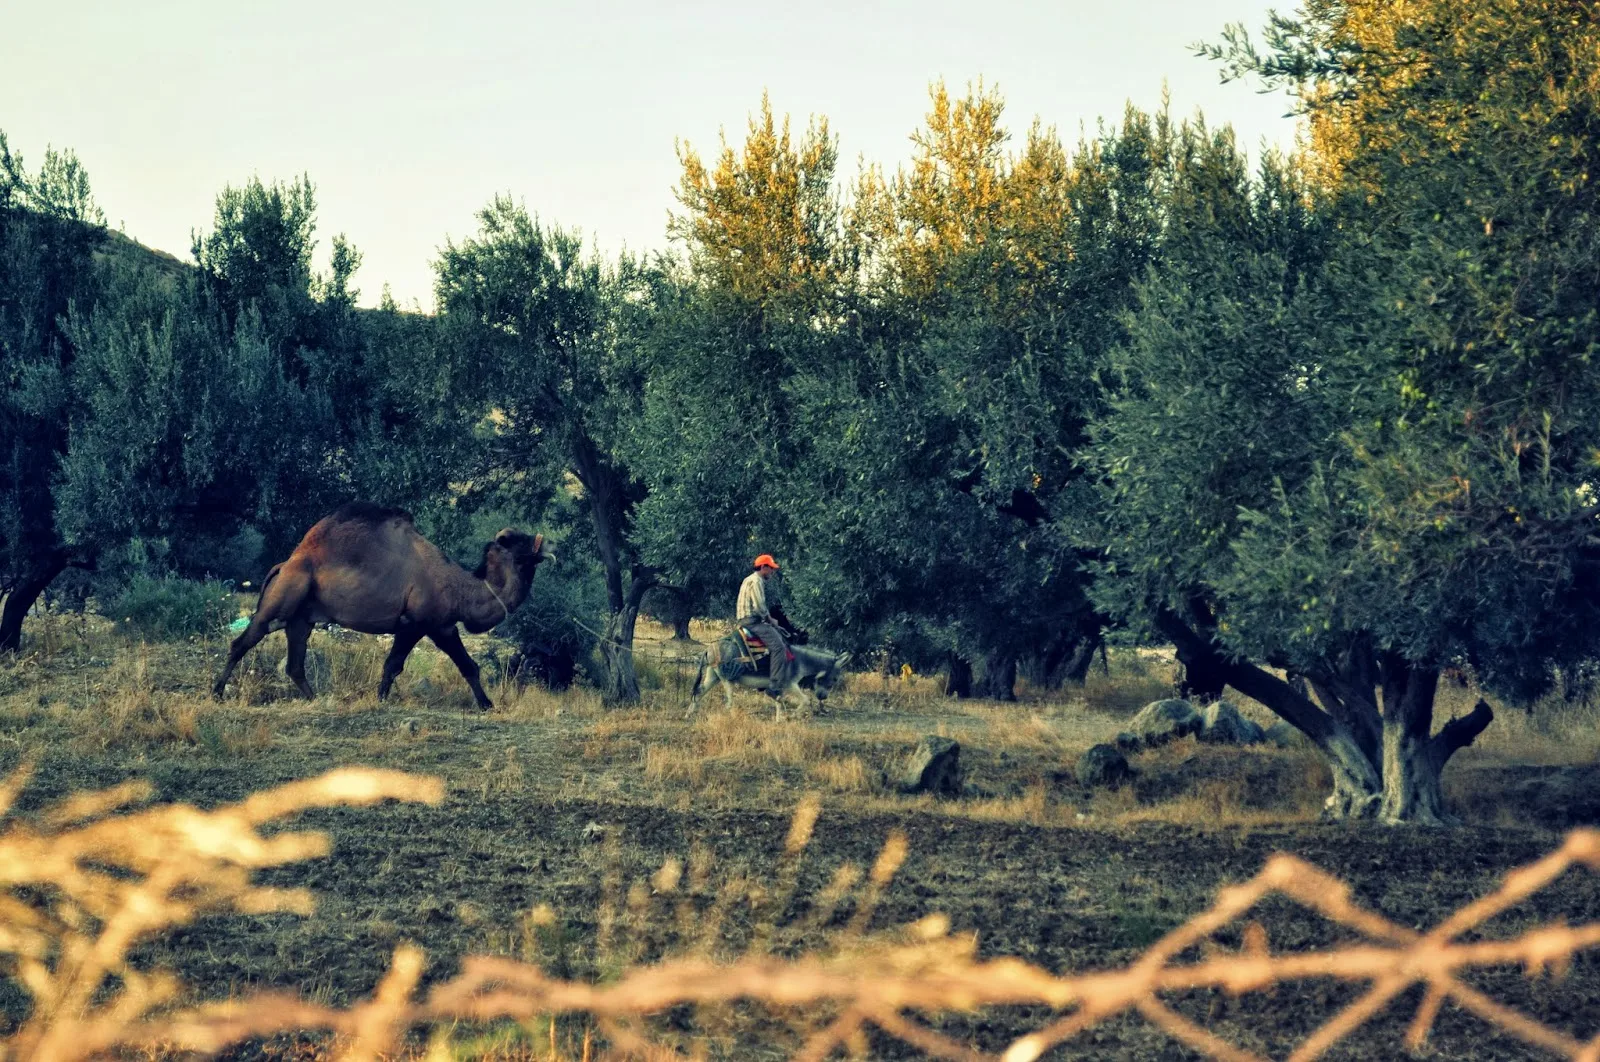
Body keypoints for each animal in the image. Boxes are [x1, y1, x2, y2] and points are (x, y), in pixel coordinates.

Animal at [212, 502, 550, 710]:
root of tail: (283, 565)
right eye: (519, 546)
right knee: (243, 642)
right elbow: (393, 665)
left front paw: (487, 705)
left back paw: (315, 699)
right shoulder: (415, 622)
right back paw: (216, 693)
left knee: (294, 664)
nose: (544, 543)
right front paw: (381, 699)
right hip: (282, 599)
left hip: (301, 619)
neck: (460, 588)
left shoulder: (442, 626)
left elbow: (468, 666)